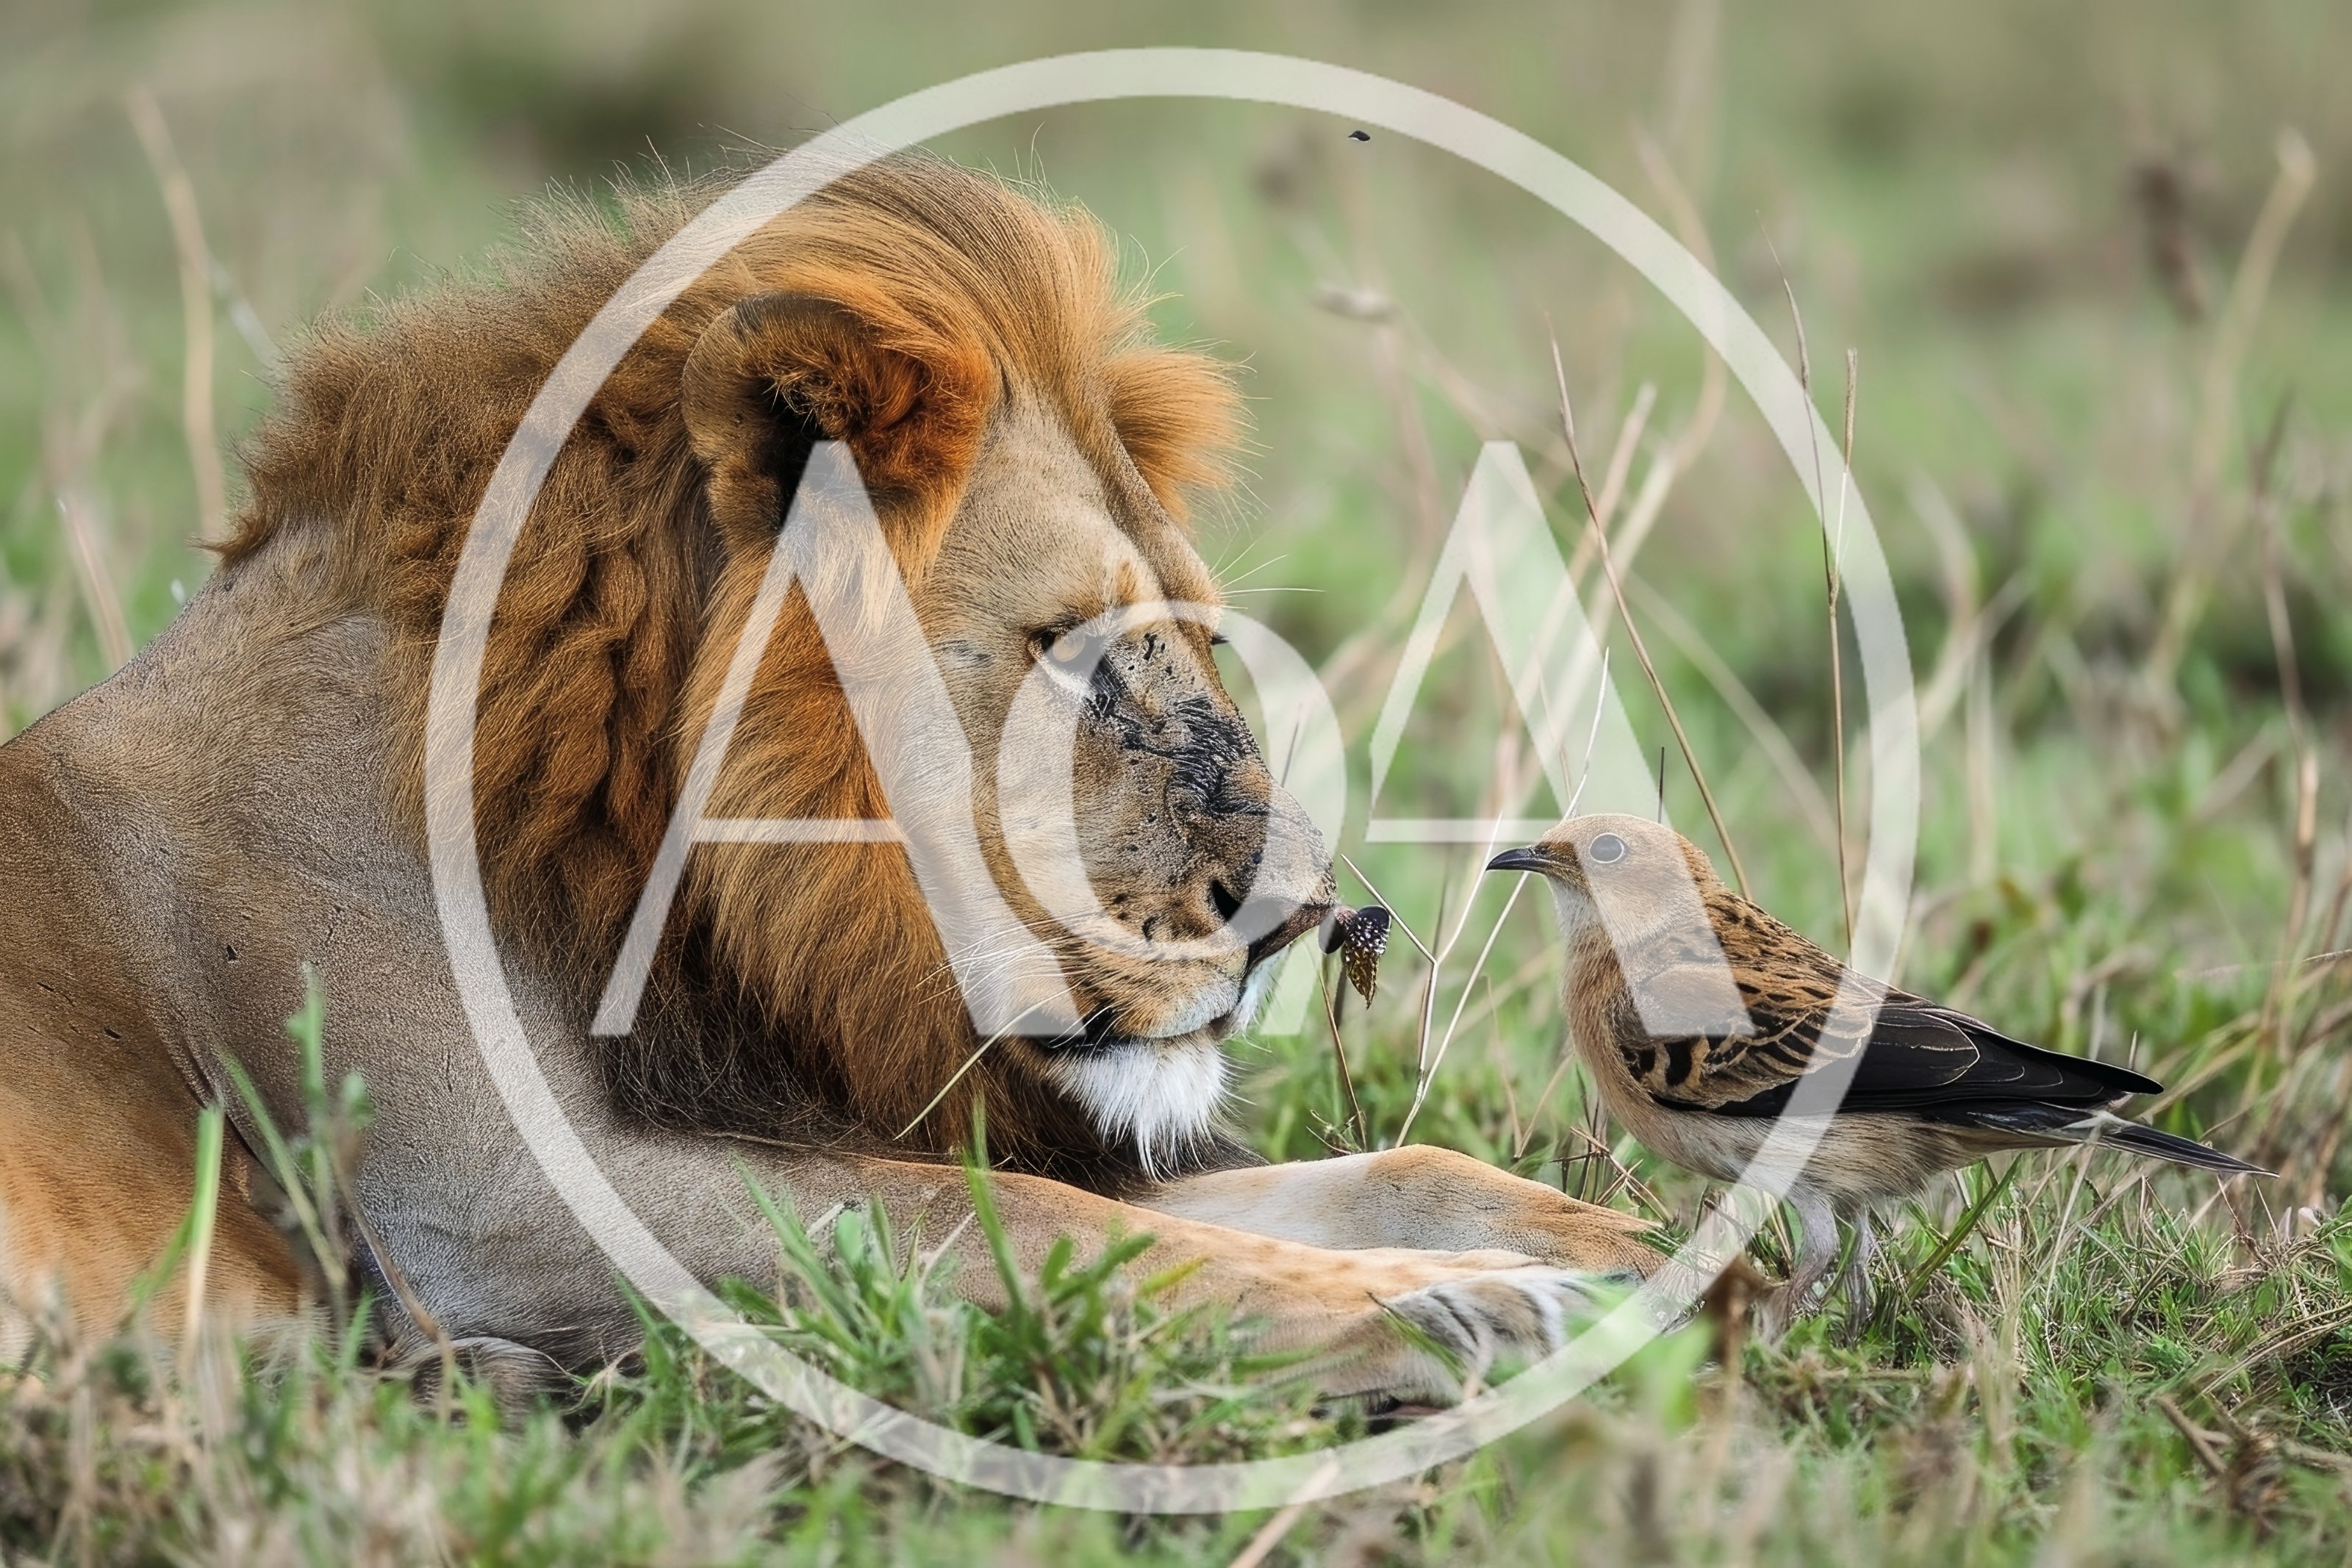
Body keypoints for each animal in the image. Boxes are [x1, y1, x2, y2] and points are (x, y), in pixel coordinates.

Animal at [0, 156, 1655, 1403]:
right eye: (1070, 646)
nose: (1297, 912)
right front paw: (1462, 1306)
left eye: (1198, 631)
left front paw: (1628, 1247)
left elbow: (1357, 1170)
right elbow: (1048, 1229)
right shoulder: (492, 1202)